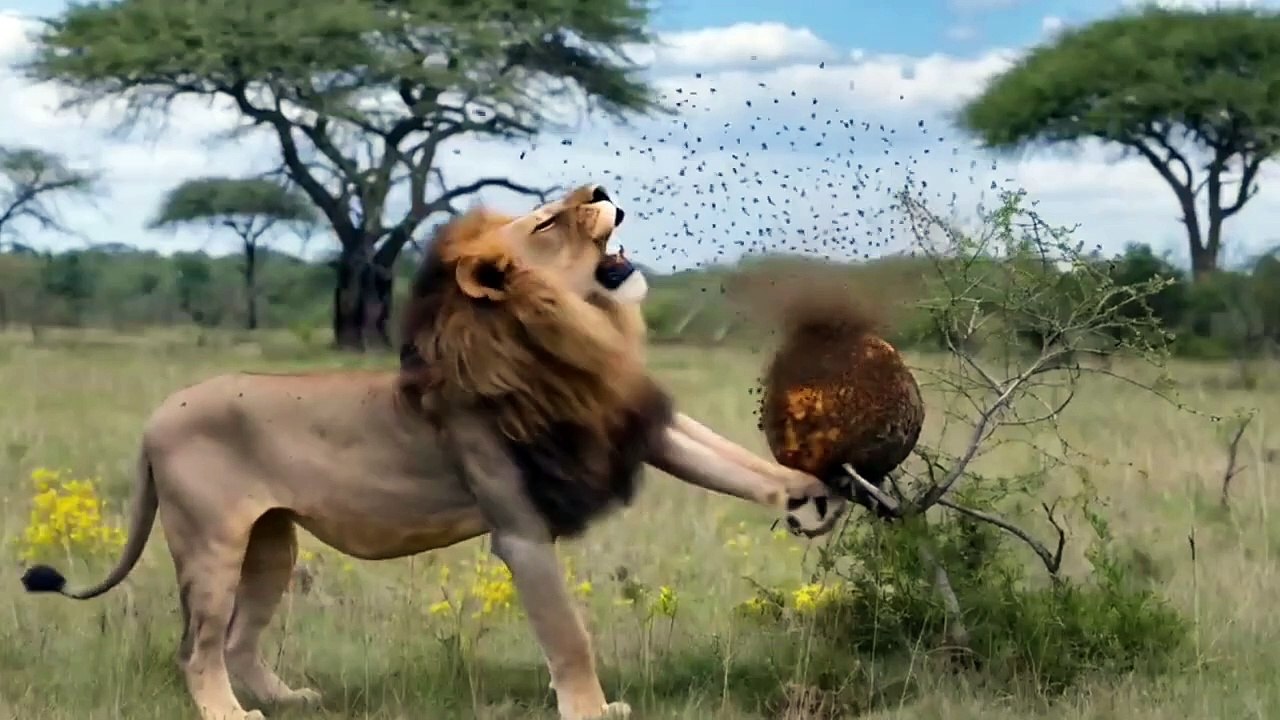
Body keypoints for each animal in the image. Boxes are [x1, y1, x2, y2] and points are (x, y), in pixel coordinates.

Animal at [19, 185, 847, 720]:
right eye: (549, 219)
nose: (604, 186)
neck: (565, 336)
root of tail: (153, 419)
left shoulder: (624, 419)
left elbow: (729, 461)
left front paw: (812, 488)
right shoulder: (520, 529)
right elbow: (569, 637)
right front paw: (592, 709)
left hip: (271, 542)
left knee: (239, 639)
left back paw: (290, 700)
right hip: (211, 540)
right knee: (197, 647)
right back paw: (229, 714)